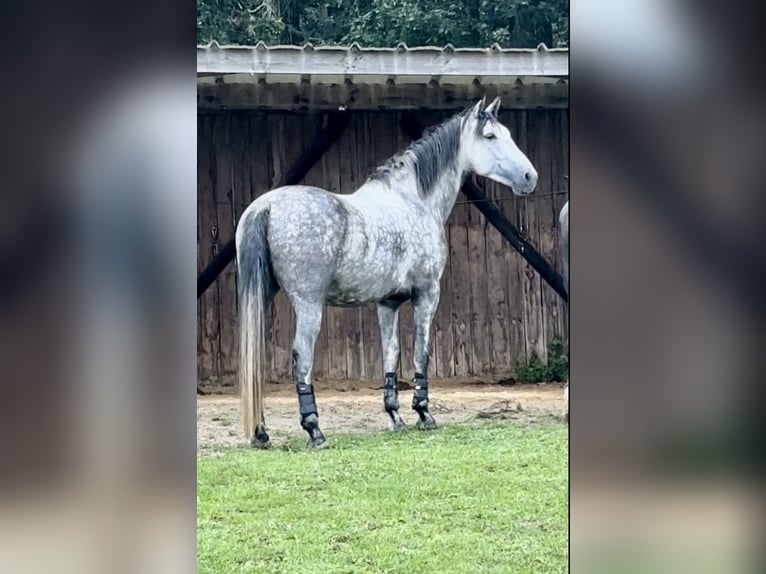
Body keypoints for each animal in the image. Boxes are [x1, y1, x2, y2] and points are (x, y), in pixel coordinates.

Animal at [235, 96, 538, 449]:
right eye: (490, 136)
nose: (529, 176)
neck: (412, 201)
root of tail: (266, 206)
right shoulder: (427, 295)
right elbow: (421, 352)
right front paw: (424, 414)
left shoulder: (388, 303)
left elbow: (390, 354)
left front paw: (395, 417)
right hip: (308, 303)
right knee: (302, 356)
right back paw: (314, 430)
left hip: (264, 296)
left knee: (255, 359)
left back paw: (261, 433)